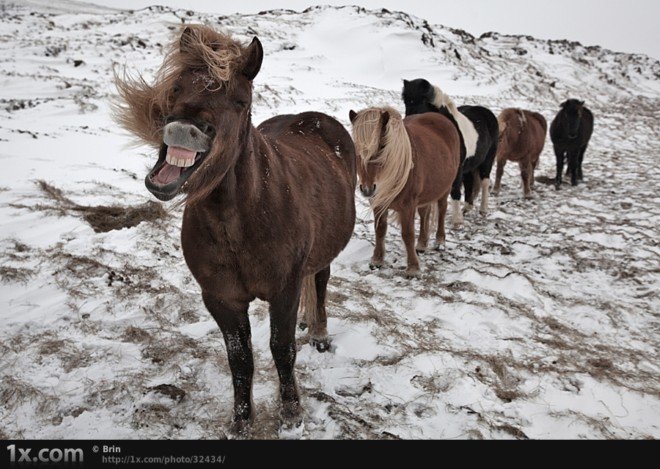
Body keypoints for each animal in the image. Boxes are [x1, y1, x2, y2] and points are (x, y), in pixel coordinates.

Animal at [116, 26, 358, 436]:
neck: (239, 222)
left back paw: (320, 333)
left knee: (321, 283)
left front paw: (291, 413)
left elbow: (282, 349)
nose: (184, 129)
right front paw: (241, 421)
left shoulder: (284, 290)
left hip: (324, 255)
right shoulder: (221, 298)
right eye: (176, 87)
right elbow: (240, 359)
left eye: (241, 101)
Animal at [350, 106, 458, 274]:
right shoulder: (379, 203)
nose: (367, 189)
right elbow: (380, 230)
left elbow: (407, 234)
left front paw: (413, 268)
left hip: (444, 188)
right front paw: (377, 260)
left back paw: (440, 241)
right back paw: (422, 244)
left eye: (382, 146)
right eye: (356, 148)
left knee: (441, 210)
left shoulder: (408, 205)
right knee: (424, 213)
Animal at [402, 79, 500, 219]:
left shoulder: (456, 168)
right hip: (469, 166)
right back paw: (466, 208)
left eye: (422, 101)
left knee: (485, 182)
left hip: (487, 160)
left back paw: (483, 210)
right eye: (406, 101)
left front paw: (457, 221)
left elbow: (455, 190)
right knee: (469, 182)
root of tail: (487, 112)